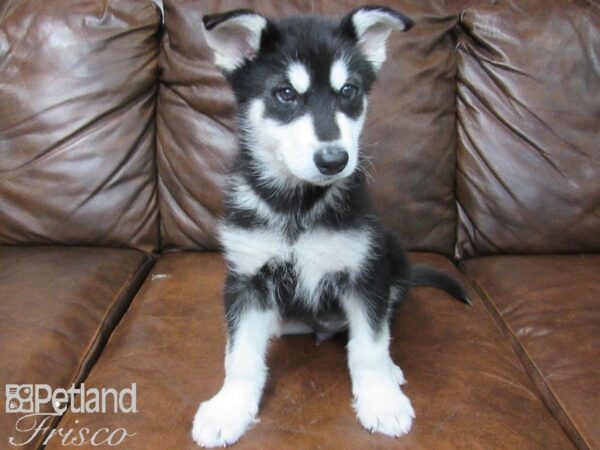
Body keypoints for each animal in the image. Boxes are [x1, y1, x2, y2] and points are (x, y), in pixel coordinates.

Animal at [192, 6, 468, 446]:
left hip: (389, 250)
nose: (334, 160)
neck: (297, 207)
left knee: (380, 324)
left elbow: (369, 346)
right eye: (285, 94)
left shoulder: (363, 273)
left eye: (349, 90)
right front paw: (229, 407)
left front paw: (381, 400)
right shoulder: (247, 278)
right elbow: (240, 355)